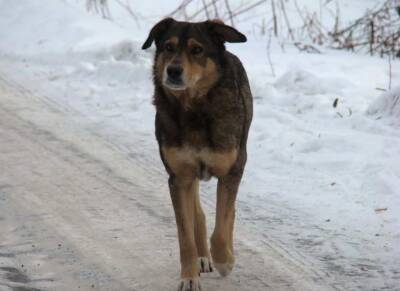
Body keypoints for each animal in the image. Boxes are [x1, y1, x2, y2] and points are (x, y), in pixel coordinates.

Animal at [142, 18, 252, 291]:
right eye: (168, 47)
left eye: (197, 50)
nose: (173, 70)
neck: (193, 109)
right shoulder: (178, 176)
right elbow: (185, 235)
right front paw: (189, 276)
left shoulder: (232, 170)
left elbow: (223, 223)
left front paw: (225, 260)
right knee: (198, 214)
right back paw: (203, 257)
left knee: (228, 214)